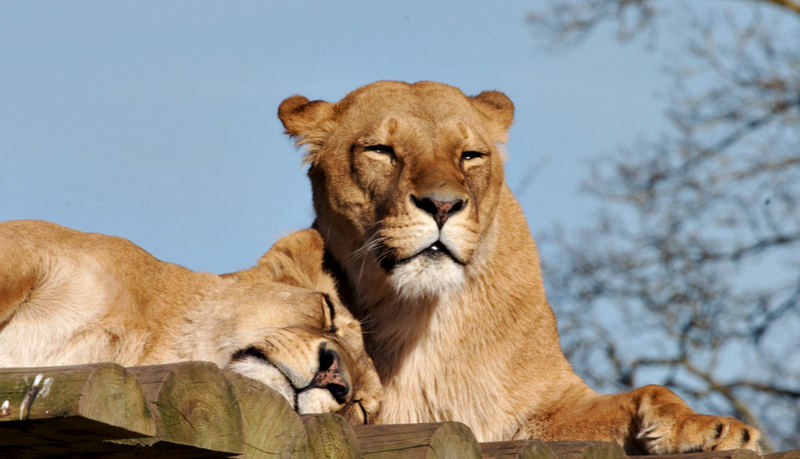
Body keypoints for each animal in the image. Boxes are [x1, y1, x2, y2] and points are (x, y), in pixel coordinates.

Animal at [276, 81, 764, 454]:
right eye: (380, 150)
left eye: (470, 155)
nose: (443, 205)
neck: (419, 314)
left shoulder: (547, 410)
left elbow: (650, 392)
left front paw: (711, 429)